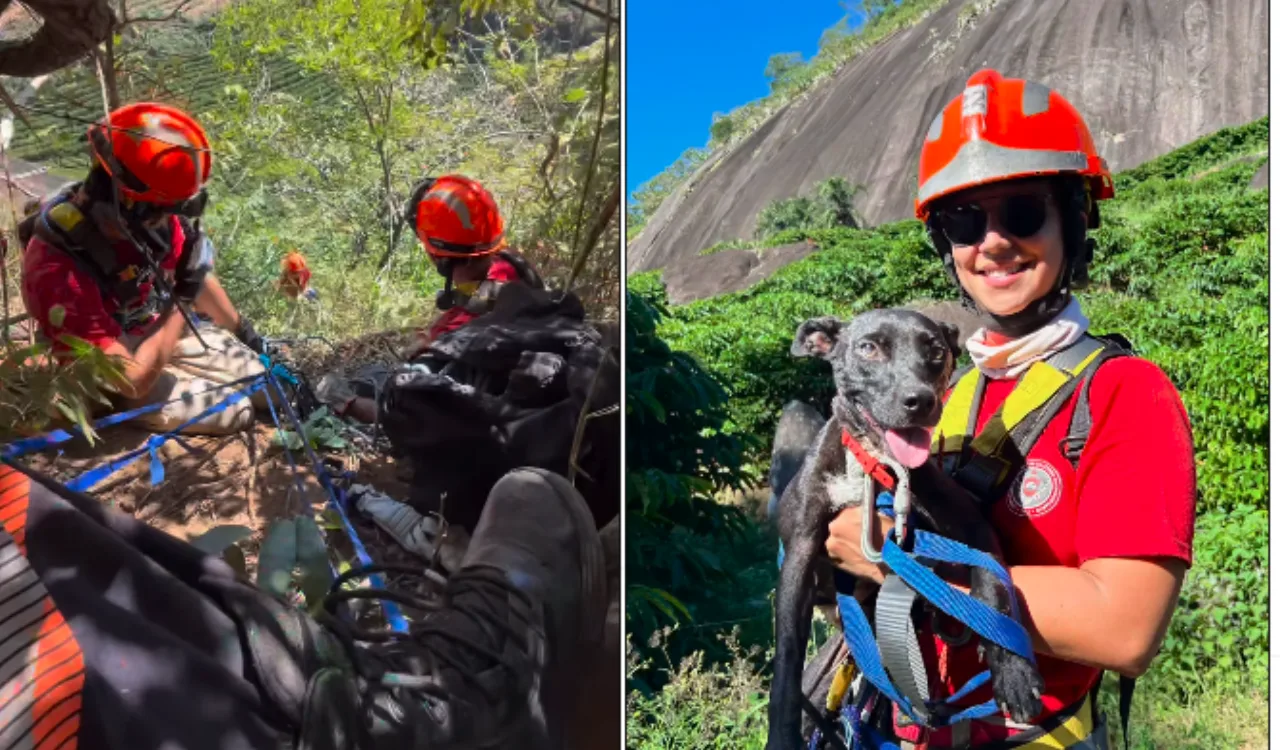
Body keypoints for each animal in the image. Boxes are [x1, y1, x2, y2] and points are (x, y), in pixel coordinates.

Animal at [762, 308, 1044, 747]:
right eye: (868, 348)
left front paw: (1012, 669)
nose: (920, 400)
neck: (873, 466)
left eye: (936, 350)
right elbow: (787, 663)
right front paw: (782, 734)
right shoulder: (800, 556)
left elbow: (993, 587)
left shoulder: (974, 527)